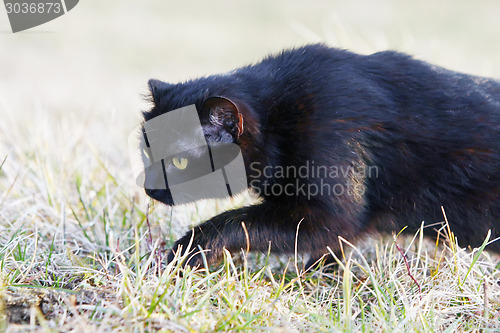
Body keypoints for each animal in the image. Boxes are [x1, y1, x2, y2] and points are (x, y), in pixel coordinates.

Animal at [141, 44, 500, 268]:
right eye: (146, 150)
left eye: (179, 161)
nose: (148, 187)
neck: (279, 117)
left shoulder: (329, 214)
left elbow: (230, 222)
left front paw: (184, 256)